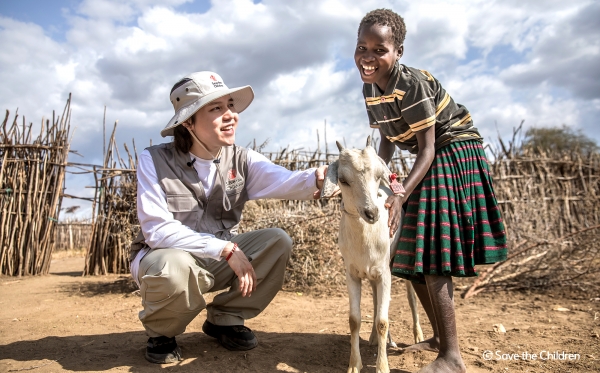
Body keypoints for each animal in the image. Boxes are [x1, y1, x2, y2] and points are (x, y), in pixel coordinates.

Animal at [324, 137, 422, 372]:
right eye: (342, 179)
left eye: (378, 175)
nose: (372, 213)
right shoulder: (352, 273)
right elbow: (354, 319)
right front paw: (354, 364)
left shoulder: (385, 273)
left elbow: (382, 321)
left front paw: (383, 367)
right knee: (377, 302)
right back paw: (374, 339)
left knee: (410, 298)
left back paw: (417, 335)